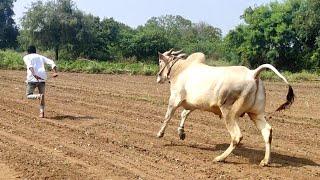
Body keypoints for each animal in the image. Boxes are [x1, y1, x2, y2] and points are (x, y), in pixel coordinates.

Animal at [156, 49, 294, 166]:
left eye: (160, 61)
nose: (158, 77)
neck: (181, 69)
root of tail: (252, 74)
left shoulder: (174, 99)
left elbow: (168, 116)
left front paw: (160, 133)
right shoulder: (193, 104)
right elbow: (184, 114)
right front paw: (181, 133)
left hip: (229, 113)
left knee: (237, 136)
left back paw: (220, 158)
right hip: (256, 114)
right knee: (267, 131)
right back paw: (265, 161)